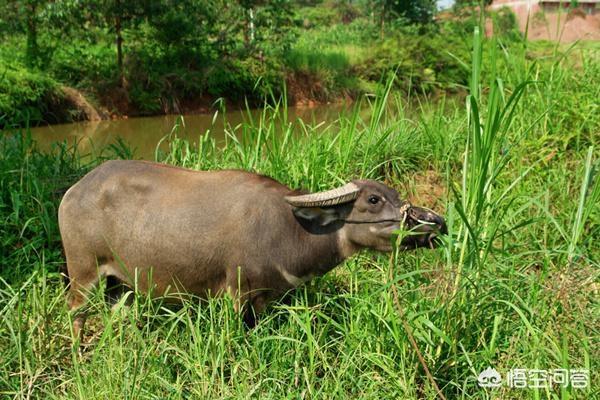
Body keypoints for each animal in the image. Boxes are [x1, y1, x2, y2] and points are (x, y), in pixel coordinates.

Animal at [59, 159, 446, 334]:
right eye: (373, 200)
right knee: (76, 314)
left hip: (118, 284)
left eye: (395, 193)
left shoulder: (264, 299)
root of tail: (75, 190)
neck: (291, 229)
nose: (436, 222)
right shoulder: (237, 293)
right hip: (83, 274)